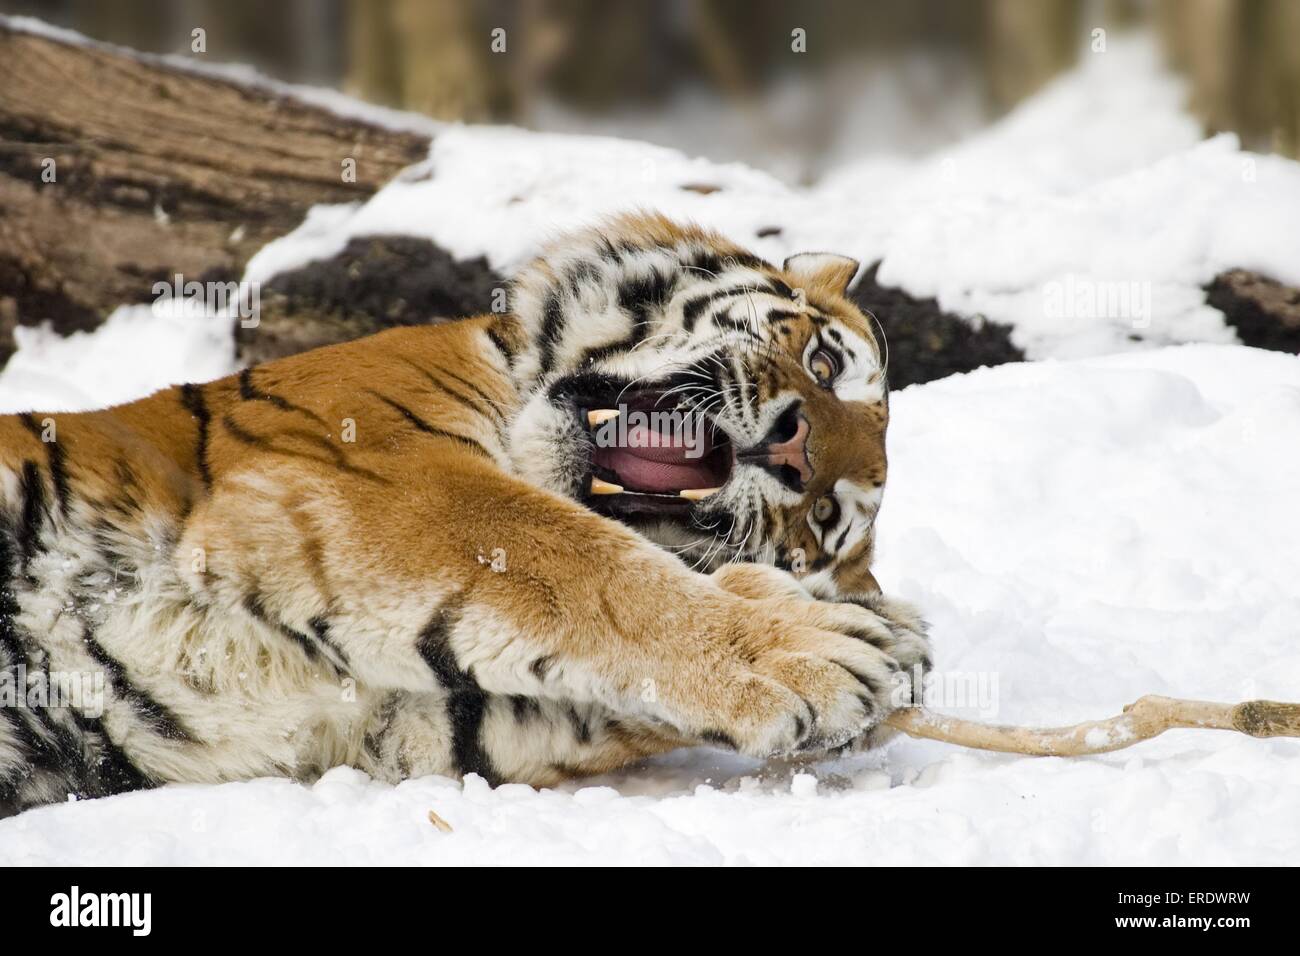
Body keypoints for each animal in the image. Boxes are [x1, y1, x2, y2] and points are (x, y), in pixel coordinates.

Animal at [2, 214, 935, 816]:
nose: (797, 453)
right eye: (824, 361)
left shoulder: (395, 718)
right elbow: (593, 566)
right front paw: (816, 645)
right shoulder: (376, 472)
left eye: (822, 520)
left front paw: (884, 644)